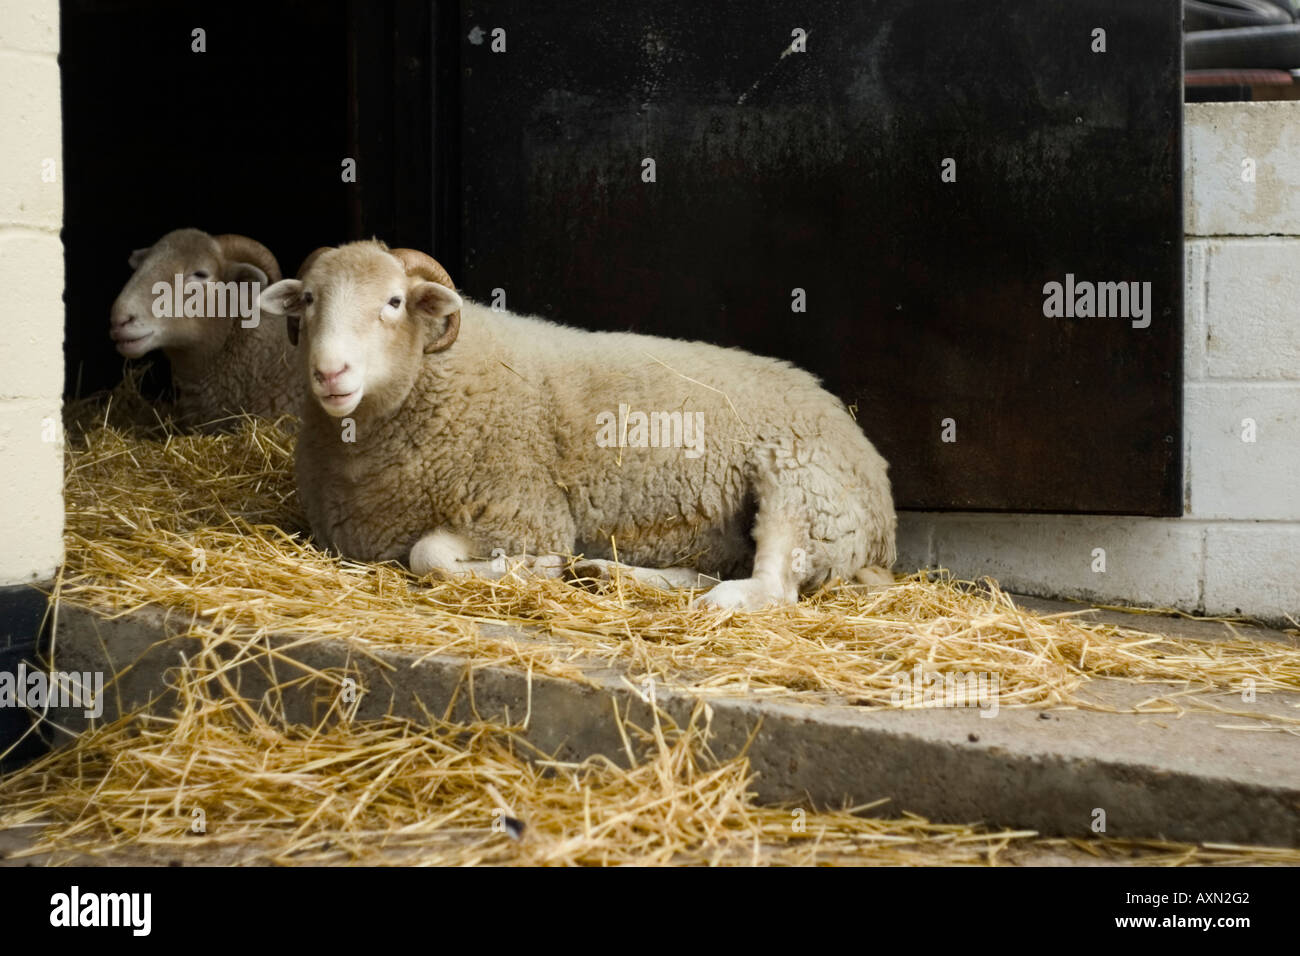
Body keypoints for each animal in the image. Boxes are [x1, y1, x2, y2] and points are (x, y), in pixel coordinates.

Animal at [258, 241, 896, 609]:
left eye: (393, 302)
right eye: (308, 299)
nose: (330, 372)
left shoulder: (524, 512)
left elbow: (429, 556)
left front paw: (531, 569)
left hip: (801, 491)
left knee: (774, 588)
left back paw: (708, 600)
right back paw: (609, 575)